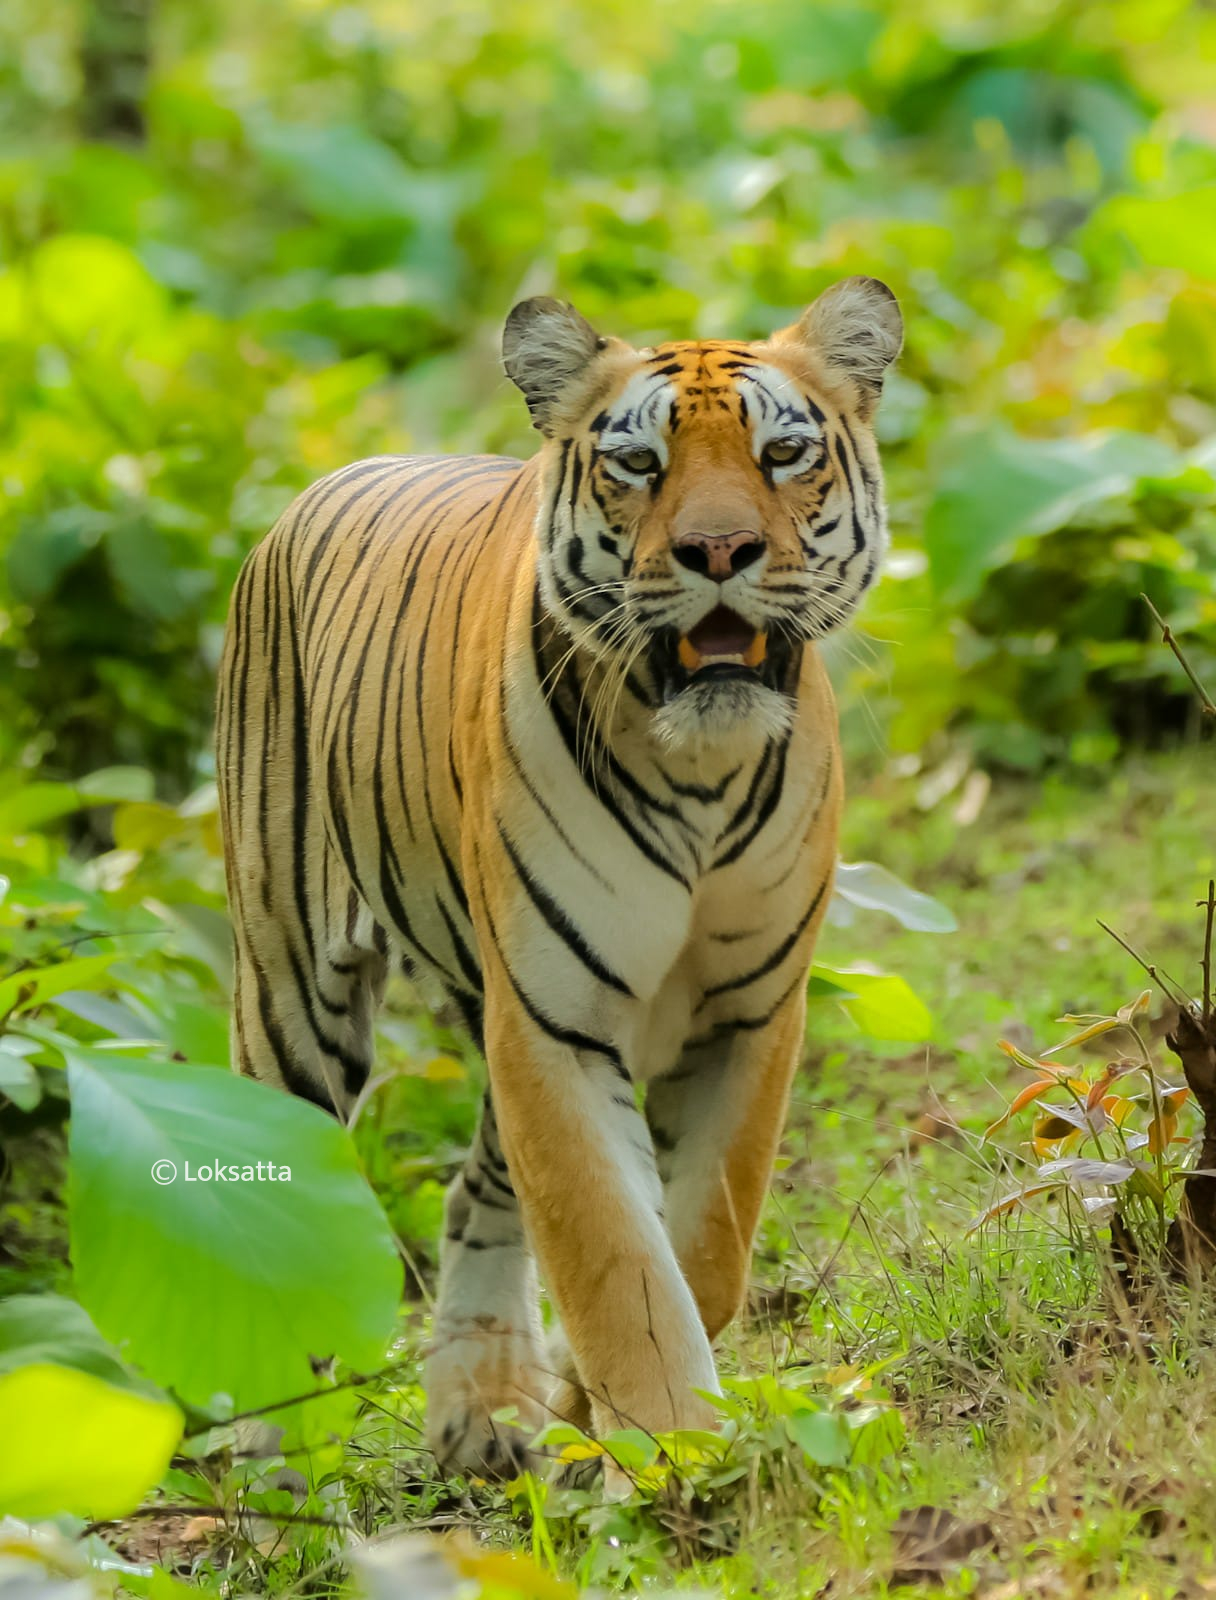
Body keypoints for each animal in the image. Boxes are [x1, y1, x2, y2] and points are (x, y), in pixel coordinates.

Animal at [216, 272, 902, 1472]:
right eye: (638, 463)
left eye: (781, 453)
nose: (718, 551)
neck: (702, 769)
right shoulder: (554, 1020)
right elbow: (615, 1252)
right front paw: (670, 1439)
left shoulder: (748, 1016)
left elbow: (704, 1241)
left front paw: (599, 1408)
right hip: (292, 988)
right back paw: (264, 1439)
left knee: (474, 1187)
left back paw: (484, 1408)